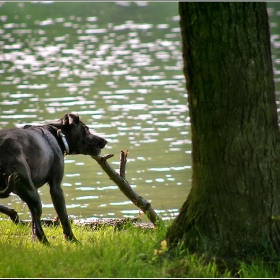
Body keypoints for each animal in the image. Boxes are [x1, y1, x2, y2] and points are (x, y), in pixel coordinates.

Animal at [0, 112, 107, 244]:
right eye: (86, 129)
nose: (105, 141)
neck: (57, 133)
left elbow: (33, 223)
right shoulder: (56, 188)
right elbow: (64, 218)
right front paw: (72, 240)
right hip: (32, 194)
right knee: (40, 230)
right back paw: (48, 245)